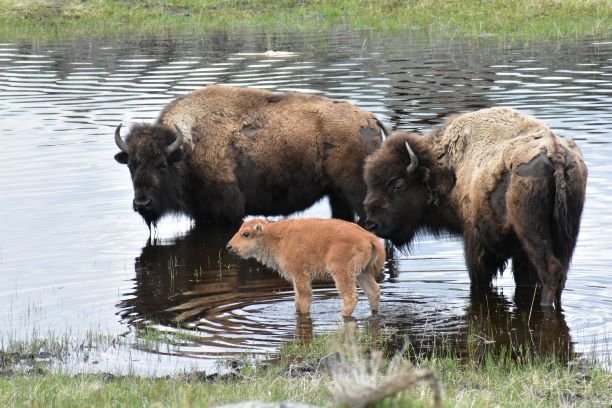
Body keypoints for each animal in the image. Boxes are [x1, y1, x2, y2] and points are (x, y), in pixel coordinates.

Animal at [112, 84, 384, 228]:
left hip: (357, 193)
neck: (188, 149)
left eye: (161, 164)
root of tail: (369, 119)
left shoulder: (228, 211)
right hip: (336, 195)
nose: (142, 203)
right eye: (131, 165)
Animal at [227, 218, 384, 318]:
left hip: (342, 273)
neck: (277, 238)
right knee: (373, 291)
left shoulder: (300, 275)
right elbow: (296, 300)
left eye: (246, 234)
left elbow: (303, 297)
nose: (229, 246)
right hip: (362, 273)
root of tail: (369, 237)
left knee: (350, 297)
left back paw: (342, 315)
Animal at [364, 107, 588, 308]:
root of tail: (556, 154)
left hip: (532, 232)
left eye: (397, 184)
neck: (447, 168)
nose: (372, 224)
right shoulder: (519, 256)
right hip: (566, 235)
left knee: (551, 271)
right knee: (561, 272)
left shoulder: (475, 242)